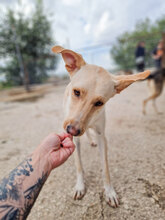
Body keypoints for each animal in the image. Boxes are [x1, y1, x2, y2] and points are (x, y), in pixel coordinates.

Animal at [52, 45, 150, 208]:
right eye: (76, 92)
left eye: (99, 103)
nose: (72, 130)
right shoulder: (74, 138)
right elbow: (79, 165)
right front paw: (80, 186)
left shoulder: (101, 135)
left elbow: (105, 169)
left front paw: (109, 192)